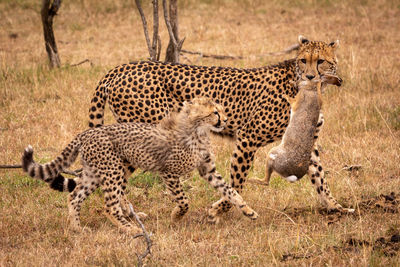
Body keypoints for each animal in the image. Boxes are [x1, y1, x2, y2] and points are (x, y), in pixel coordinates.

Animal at [88, 35, 354, 219]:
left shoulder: (303, 141)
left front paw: (337, 207)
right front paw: (220, 209)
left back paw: (128, 213)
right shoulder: (248, 137)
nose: (309, 76)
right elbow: (237, 180)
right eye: (303, 60)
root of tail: (120, 68)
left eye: (321, 61)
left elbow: (319, 175)